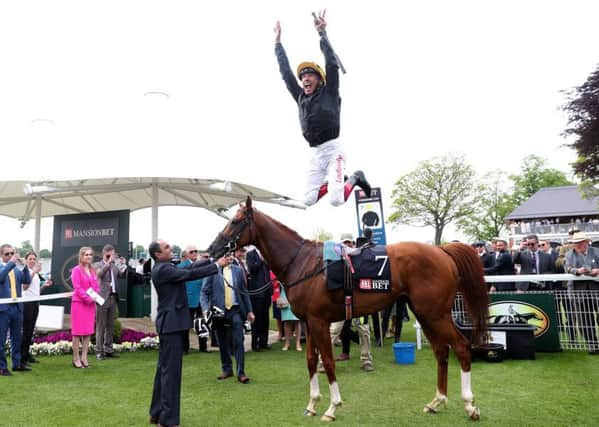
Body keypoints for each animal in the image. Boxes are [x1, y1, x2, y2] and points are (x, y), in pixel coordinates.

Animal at [209, 199, 490, 422]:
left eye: (235, 221)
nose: (213, 249)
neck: (304, 263)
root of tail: (442, 251)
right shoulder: (309, 323)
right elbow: (311, 361)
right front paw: (312, 404)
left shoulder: (319, 322)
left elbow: (328, 361)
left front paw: (332, 408)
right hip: (426, 314)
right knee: (441, 351)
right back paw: (436, 402)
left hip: (436, 314)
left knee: (461, 347)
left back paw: (470, 406)